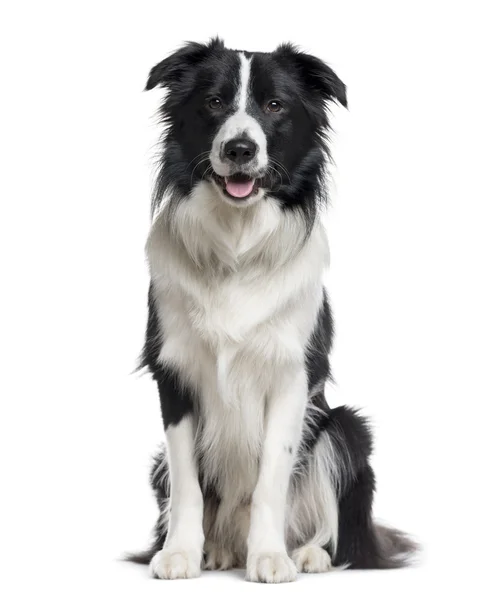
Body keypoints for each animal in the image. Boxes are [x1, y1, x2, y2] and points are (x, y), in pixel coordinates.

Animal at [127, 37, 414, 580]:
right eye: (214, 102)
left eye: (275, 105)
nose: (240, 149)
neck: (237, 244)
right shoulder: (173, 375)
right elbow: (188, 485)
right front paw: (179, 554)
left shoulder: (292, 376)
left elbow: (270, 482)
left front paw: (269, 556)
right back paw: (217, 551)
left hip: (346, 429)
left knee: (337, 527)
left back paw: (307, 554)